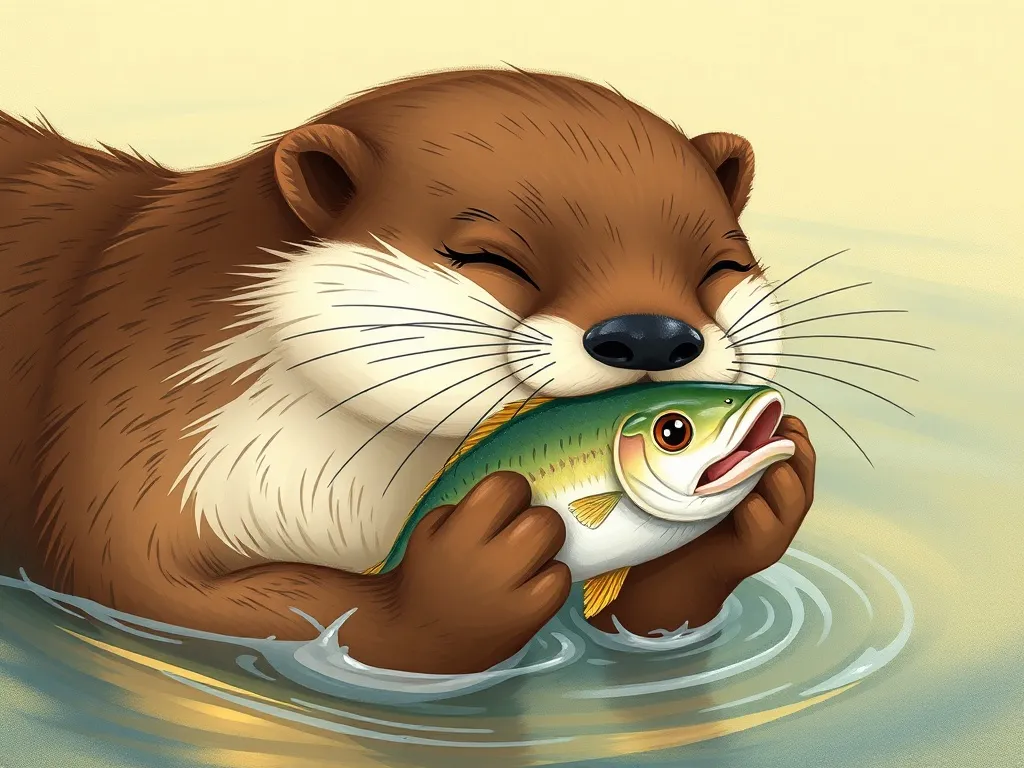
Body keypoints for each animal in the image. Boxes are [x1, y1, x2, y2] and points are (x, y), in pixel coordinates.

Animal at [0, 68, 815, 675]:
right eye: (491, 258)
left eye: (720, 266)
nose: (650, 335)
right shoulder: (128, 430)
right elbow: (150, 590)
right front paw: (458, 586)